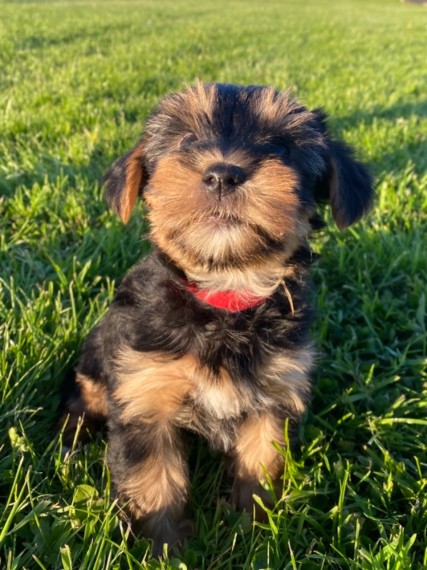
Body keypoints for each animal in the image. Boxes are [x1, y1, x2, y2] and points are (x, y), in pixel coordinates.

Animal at [58, 80, 372, 552]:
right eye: (188, 141)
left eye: (280, 147)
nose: (223, 173)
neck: (226, 291)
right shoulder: (145, 394)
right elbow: (152, 481)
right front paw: (162, 548)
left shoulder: (273, 396)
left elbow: (262, 464)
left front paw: (254, 531)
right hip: (100, 360)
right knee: (85, 395)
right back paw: (70, 440)